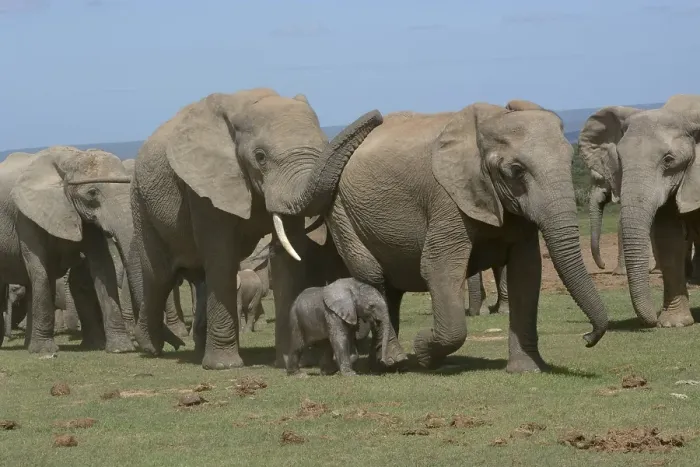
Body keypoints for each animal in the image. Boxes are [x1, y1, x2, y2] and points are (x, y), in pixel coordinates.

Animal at [0, 147, 135, 354]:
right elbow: (39, 268)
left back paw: (28, 345)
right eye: (92, 193)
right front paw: (45, 352)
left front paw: (121, 348)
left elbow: (103, 265)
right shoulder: (24, 215)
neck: (71, 158)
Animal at [127, 88, 382, 369]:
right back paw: (151, 347)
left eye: (323, 148)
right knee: (159, 275)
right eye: (260, 157)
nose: (378, 115)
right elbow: (222, 258)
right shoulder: (205, 187)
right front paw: (224, 366)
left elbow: (287, 256)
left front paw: (288, 361)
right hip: (141, 202)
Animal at [300, 99, 609, 373]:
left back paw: (386, 364)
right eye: (515, 171)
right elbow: (438, 267)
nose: (587, 338)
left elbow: (526, 270)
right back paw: (393, 362)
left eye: (570, 161)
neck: (489, 125)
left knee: (391, 288)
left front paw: (527, 370)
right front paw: (424, 352)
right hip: (341, 213)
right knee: (373, 277)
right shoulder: (446, 198)